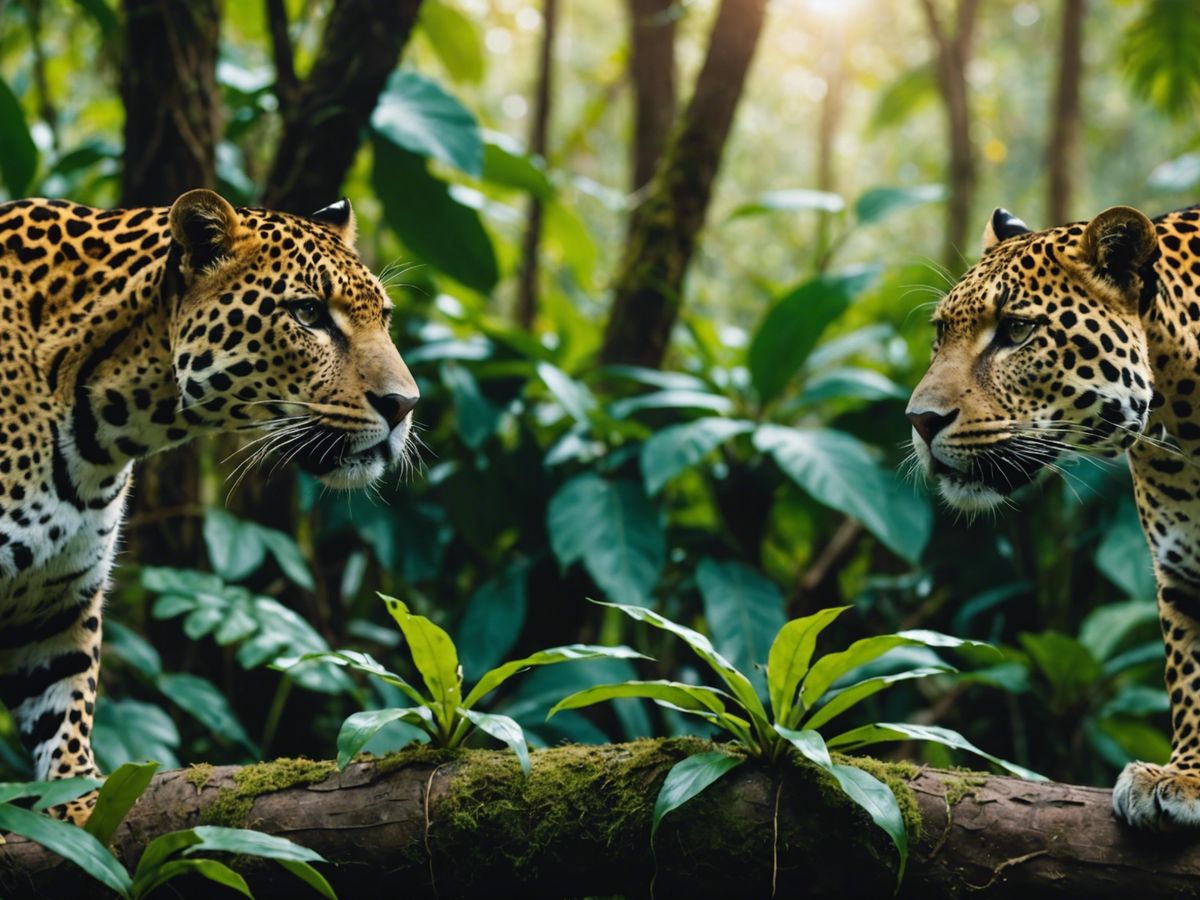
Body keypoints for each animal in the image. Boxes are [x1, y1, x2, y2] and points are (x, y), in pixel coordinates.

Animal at [0, 189, 419, 821]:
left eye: (385, 318)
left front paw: (79, 806)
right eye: (309, 314)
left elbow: (64, 705)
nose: (404, 405)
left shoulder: (59, 600)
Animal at [905, 201, 1200, 831]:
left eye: (1016, 331)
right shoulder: (1182, 569)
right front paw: (1187, 774)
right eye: (941, 334)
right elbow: (1191, 673)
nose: (919, 420)